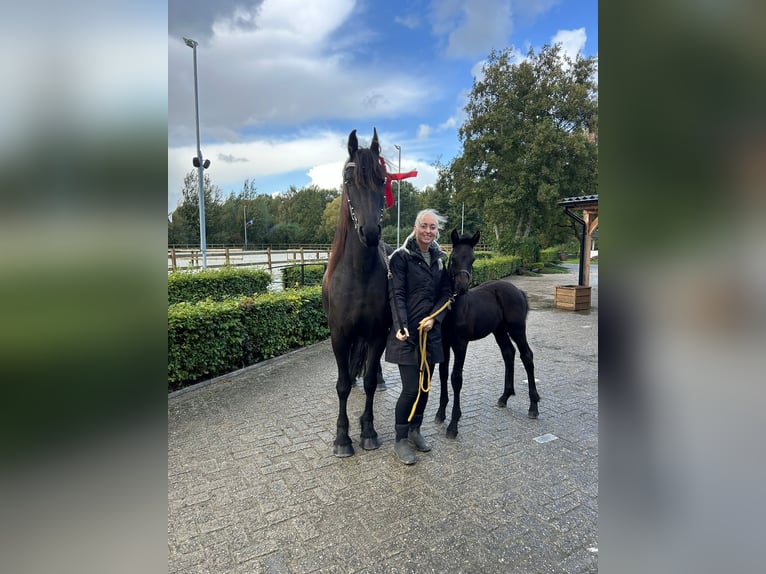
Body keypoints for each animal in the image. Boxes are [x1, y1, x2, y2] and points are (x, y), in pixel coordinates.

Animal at [434, 229, 539, 438]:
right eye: (453, 258)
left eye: (473, 259)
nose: (462, 288)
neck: (454, 307)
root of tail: (518, 291)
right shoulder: (444, 343)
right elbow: (443, 374)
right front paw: (440, 414)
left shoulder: (461, 344)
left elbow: (456, 379)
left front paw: (453, 424)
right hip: (499, 331)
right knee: (509, 353)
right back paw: (505, 396)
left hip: (517, 329)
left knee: (526, 355)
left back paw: (533, 406)